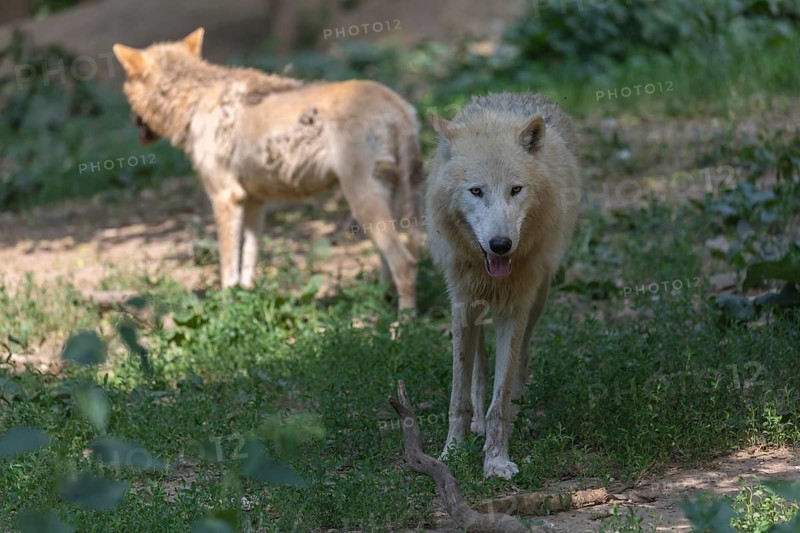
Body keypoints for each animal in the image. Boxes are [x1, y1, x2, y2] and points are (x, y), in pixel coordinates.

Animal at [113, 29, 423, 311]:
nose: (131, 120)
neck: (195, 99)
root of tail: (399, 106)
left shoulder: (225, 198)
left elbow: (228, 268)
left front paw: (226, 309)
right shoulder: (254, 202)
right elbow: (248, 264)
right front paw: (247, 302)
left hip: (363, 205)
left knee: (405, 263)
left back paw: (403, 323)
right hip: (386, 205)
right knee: (392, 262)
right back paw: (379, 308)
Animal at [426, 92, 581, 478]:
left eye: (515, 190)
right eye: (476, 191)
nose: (500, 245)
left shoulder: (515, 309)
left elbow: (501, 395)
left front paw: (495, 461)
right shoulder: (461, 305)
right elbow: (459, 394)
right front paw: (453, 451)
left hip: (539, 298)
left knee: (520, 359)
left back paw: (516, 404)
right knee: (479, 367)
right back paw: (476, 423)